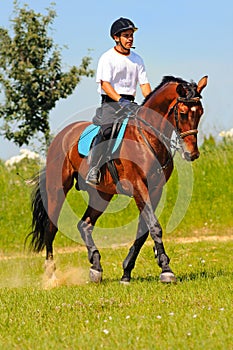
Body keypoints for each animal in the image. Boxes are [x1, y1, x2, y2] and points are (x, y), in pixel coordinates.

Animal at [27, 75, 208, 284]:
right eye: (183, 113)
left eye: (200, 112)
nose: (192, 154)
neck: (147, 137)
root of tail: (61, 136)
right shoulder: (139, 187)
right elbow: (154, 226)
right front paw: (166, 270)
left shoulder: (155, 190)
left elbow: (144, 230)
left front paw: (127, 272)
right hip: (57, 188)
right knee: (51, 228)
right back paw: (51, 275)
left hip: (101, 195)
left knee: (84, 224)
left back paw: (95, 267)